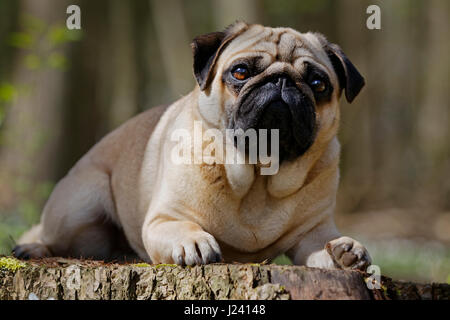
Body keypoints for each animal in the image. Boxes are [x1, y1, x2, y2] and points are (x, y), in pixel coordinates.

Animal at [14, 21, 372, 270]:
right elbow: (181, 226)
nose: (281, 80)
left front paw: (345, 252)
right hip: (79, 205)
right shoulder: (163, 219)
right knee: (52, 235)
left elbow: (323, 245)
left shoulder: (313, 233)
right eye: (240, 72)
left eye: (318, 83)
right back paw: (31, 247)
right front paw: (193, 241)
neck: (259, 176)